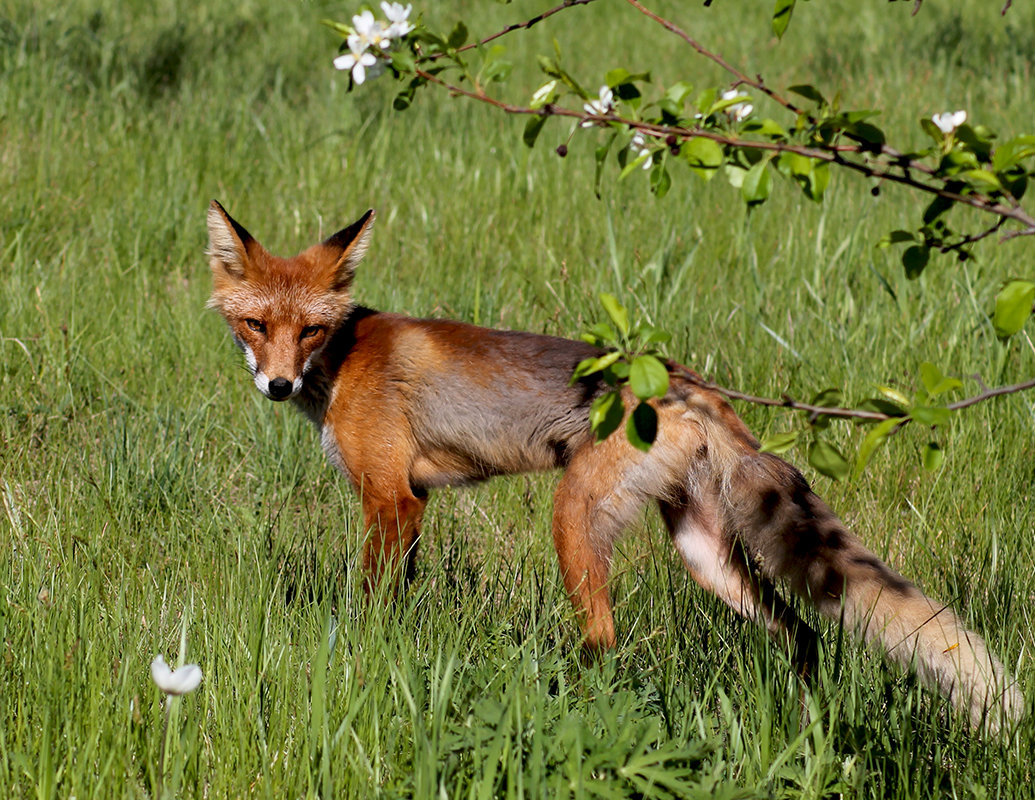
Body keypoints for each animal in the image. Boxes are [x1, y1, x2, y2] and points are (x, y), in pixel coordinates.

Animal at [205, 201, 1022, 728]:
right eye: (256, 325)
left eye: (309, 331)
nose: (278, 385)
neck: (344, 361)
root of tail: (687, 378)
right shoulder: (410, 504)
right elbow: (398, 599)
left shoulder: (390, 498)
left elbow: (371, 606)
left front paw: (358, 662)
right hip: (702, 552)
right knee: (803, 634)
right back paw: (803, 723)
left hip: (572, 520)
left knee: (606, 642)